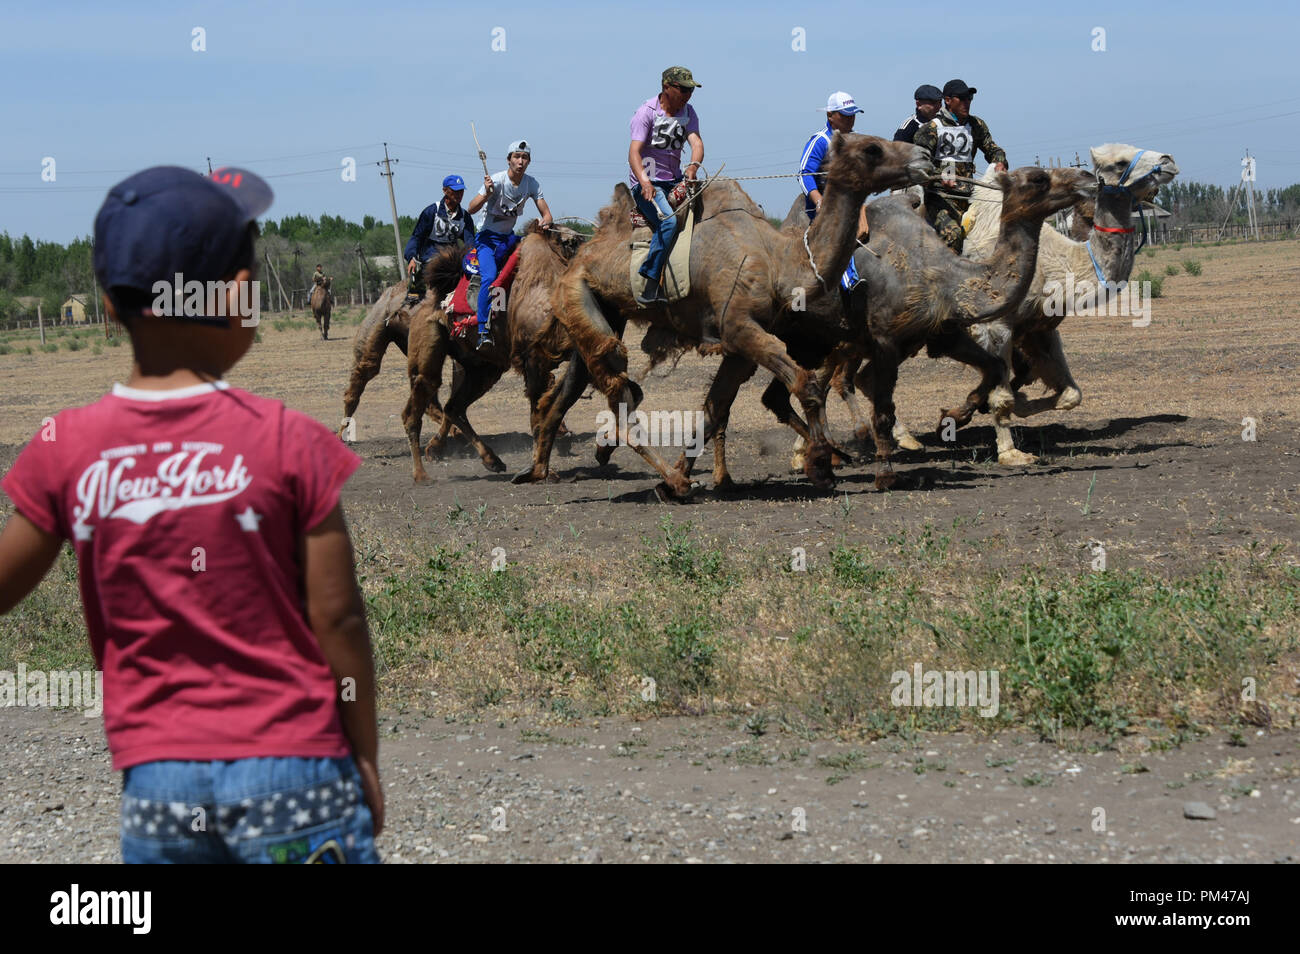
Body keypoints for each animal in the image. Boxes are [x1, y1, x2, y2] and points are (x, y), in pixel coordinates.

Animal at [403, 224, 587, 486]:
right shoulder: (534, 359)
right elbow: (538, 415)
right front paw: (542, 472)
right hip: (430, 356)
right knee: (416, 408)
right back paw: (422, 474)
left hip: (484, 368)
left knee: (454, 406)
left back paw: (491, 460)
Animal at [509, 133, 935, 501]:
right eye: (872, 148)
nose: (925, 158)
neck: (780, 262)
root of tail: (576, 257)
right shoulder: (740, 327)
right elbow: (806, 386)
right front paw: (820, 468)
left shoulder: (740, 346)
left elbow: (715, 409)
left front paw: (688, 474)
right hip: (580, 300)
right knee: (619, 392)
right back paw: (665, 479)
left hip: (595, 314)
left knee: (564, 395)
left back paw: (538, 470)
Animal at [733, 165, 1097, 488]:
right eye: (1038, 178)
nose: (1087, 177)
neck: (944, 275)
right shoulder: (886, 340)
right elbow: (883, 410)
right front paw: (886, 474)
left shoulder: (941, 334)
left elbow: (994, 368)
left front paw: (953, 416)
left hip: (817, 346)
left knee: (787, 394)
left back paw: (826, 456)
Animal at [915, 142, 1180, 467]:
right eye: (1119, 162)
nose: (1168, 160)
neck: (1052, 263)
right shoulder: (995, 326)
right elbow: (1002, 396)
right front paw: (1010, 453)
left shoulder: (1040, 328)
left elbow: (1070, 394)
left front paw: (970, 413)